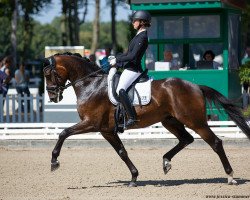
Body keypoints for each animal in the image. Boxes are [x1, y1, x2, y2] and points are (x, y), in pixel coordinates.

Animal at [44, 53, 250, 188]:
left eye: (47, 74)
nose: (53, 97)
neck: (91, 85)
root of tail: (196, 86)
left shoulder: (92, 123)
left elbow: (63, 133)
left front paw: (54, 161)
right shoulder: (106, 130)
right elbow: (122, 152)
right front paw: (134, 178)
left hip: (195, 121)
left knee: (215, 142)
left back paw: (230, 177)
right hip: (170, 121)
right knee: (186, 139)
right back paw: (166, 161)